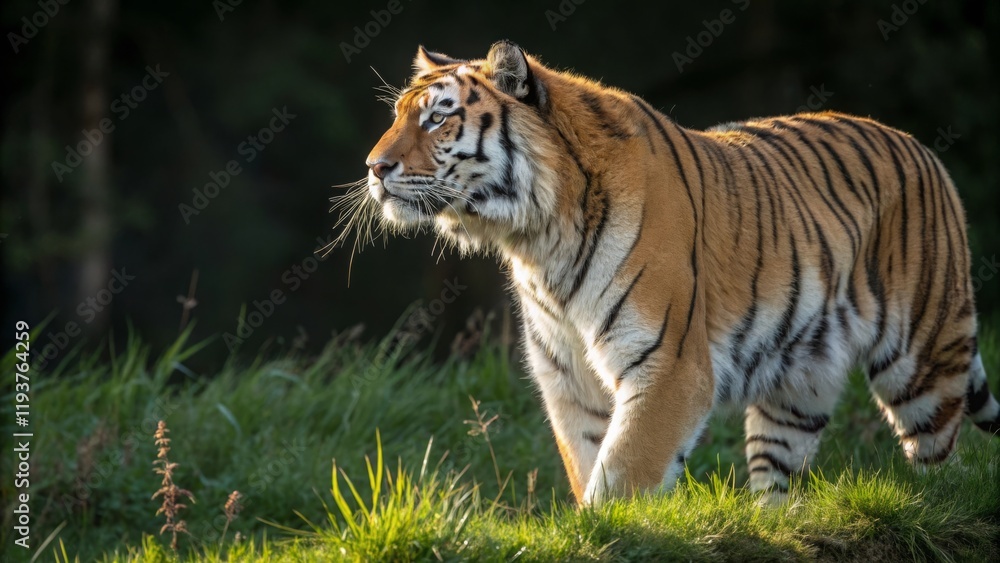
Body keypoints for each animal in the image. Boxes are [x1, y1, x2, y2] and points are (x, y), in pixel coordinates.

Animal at [353, 40, 1000, 505]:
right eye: (399, 116)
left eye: (438, 120)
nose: (374, 167)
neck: (536, 238)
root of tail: (922, 148)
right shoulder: (569, 379)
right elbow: (590, 463)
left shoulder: (669, 365)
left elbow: (623, 471)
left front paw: (605, 531)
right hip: (799, 383)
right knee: (780, 475)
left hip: (923, 359)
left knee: (944, 459)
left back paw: (934, 505)